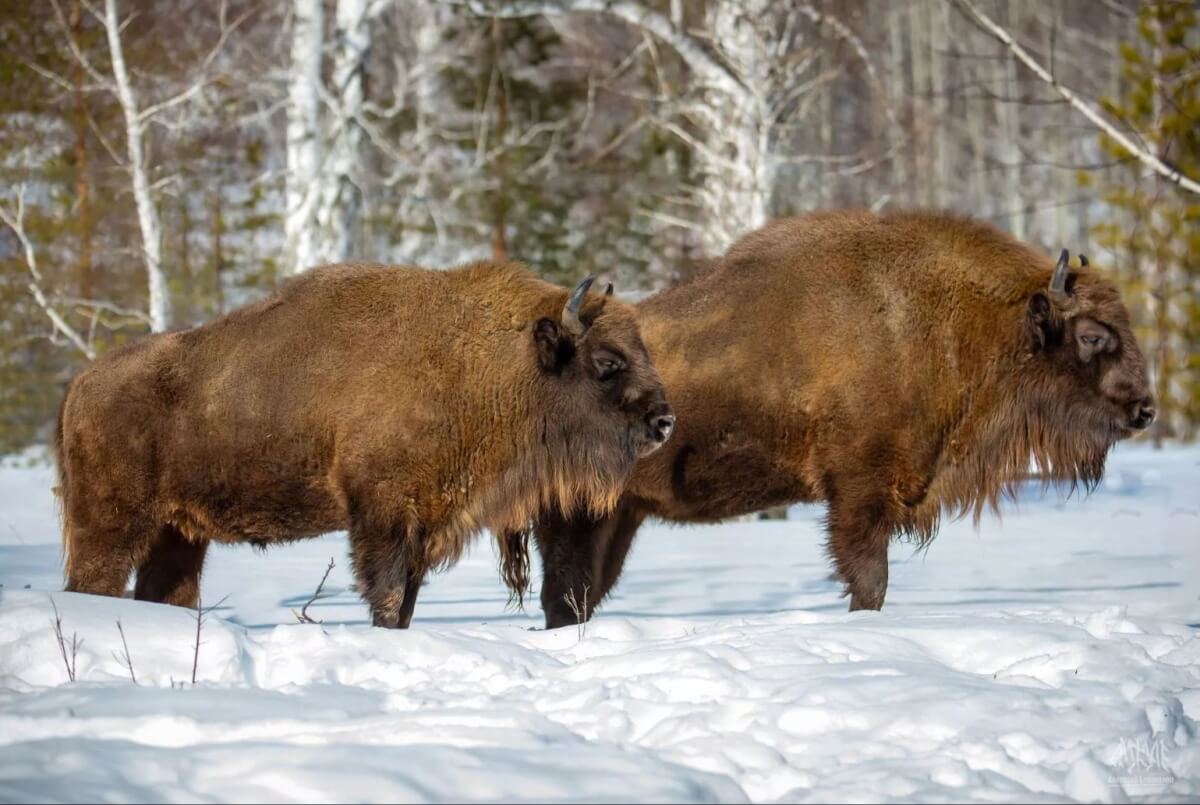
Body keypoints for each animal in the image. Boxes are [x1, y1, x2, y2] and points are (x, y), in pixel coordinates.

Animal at [55, 261, 673, 627]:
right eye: (607, 362)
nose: (665, 421)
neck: (485, 362)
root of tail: (81, 385)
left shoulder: (423, 526)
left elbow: (407, 600)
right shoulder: (383, 519)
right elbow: (389, 597)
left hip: (179, 533)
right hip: (112, 528)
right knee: (92, 583)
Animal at [524, 210, 1154, 627]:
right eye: (1093, 335)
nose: (1145, 409)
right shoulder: (858, 490)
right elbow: (868, 576)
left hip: (617, 516)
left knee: (577, 594)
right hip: (575, 512)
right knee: (564, 593)